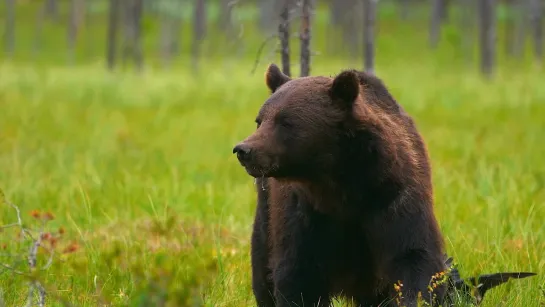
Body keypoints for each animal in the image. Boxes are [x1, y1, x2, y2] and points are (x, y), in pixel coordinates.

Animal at [232, 63, 448, 306]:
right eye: (259, 121)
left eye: (285, 122)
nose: (244, 150)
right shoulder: (304, 211)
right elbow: (298, 273)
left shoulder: (393, 196)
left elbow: (413, 257)